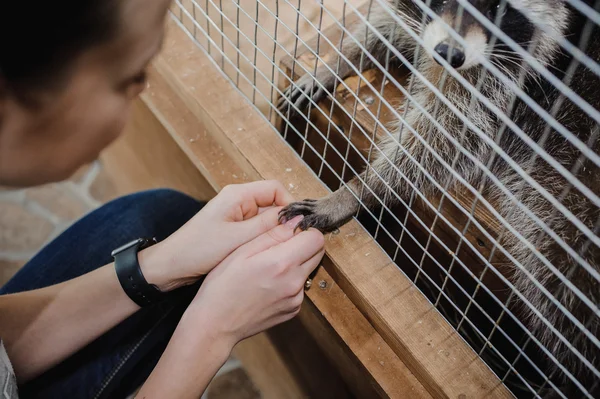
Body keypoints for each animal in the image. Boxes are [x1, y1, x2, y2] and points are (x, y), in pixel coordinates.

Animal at [278, 0, 600, 396]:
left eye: (500, 8)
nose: (450, 54)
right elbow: (392, 28)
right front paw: (337, 61)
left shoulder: (509, 77)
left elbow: (446, 136)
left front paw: (360, 189)